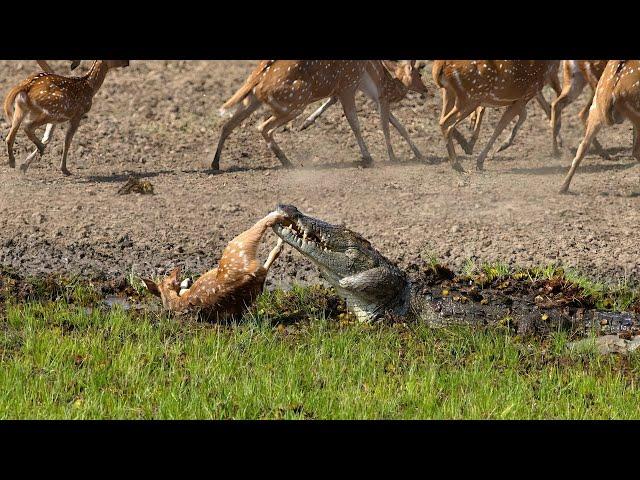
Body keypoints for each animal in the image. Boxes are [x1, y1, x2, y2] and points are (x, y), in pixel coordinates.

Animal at [212, 59, 416, 170]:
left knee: (228, 124)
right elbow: (355, 121)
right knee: (263, 127)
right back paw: (288, 162)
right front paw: (371, 157)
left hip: (252, 100)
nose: (421, 88)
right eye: (418, 73)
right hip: (296, 102)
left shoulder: (350, 87)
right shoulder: (348, 85)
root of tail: (258, 81)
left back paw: (215, 164)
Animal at [298, 59, 432, 161]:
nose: (425, 89)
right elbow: (385, 127)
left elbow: (400, 127)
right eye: (420, 75)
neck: (391, 89)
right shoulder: (382, 99)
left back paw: (305, 123)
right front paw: (392, 157)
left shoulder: (377, 100)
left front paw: (421, 156)